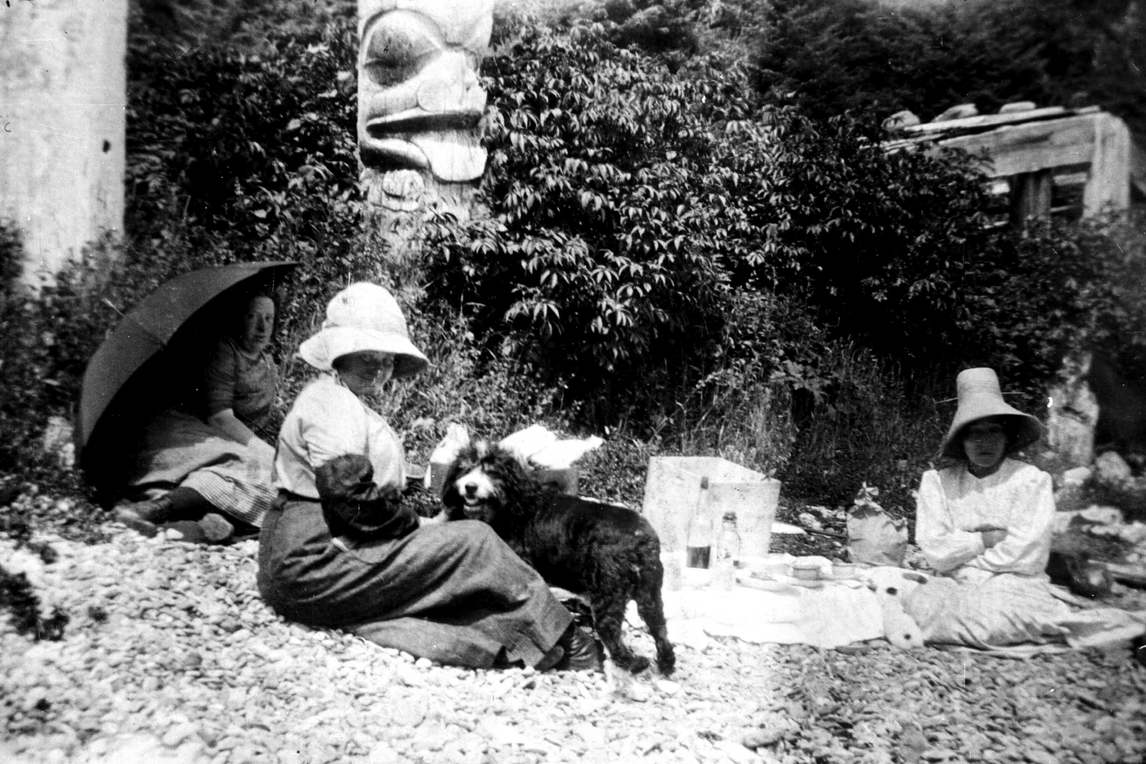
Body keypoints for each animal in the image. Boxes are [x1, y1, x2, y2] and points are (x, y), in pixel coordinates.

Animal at [442, 442, 673, 673]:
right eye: (464, 469)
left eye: (491, 472)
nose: (470, 487)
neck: (511, 503)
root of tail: (640, 538)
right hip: (649, 590)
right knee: (658, 625)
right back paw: (666, 661)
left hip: (608, 589)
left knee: (609, 626)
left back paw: (630, 661)